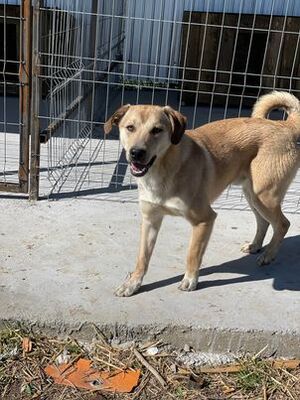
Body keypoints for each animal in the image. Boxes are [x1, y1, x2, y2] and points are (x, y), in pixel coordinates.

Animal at [104, 91, 300, 296]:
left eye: (157, 130)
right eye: (130, 127)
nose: (136, 153)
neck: (163, 170)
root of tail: (285, 125)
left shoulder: (204, 220)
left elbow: (193, 254)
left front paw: (190, 280)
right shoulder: (150, 219)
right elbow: (142, 257)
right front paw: (133, 283)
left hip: (264, 196)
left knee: (282, 224)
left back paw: (269, 255)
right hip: (252, 195)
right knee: (263, 222)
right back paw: (255, 246)